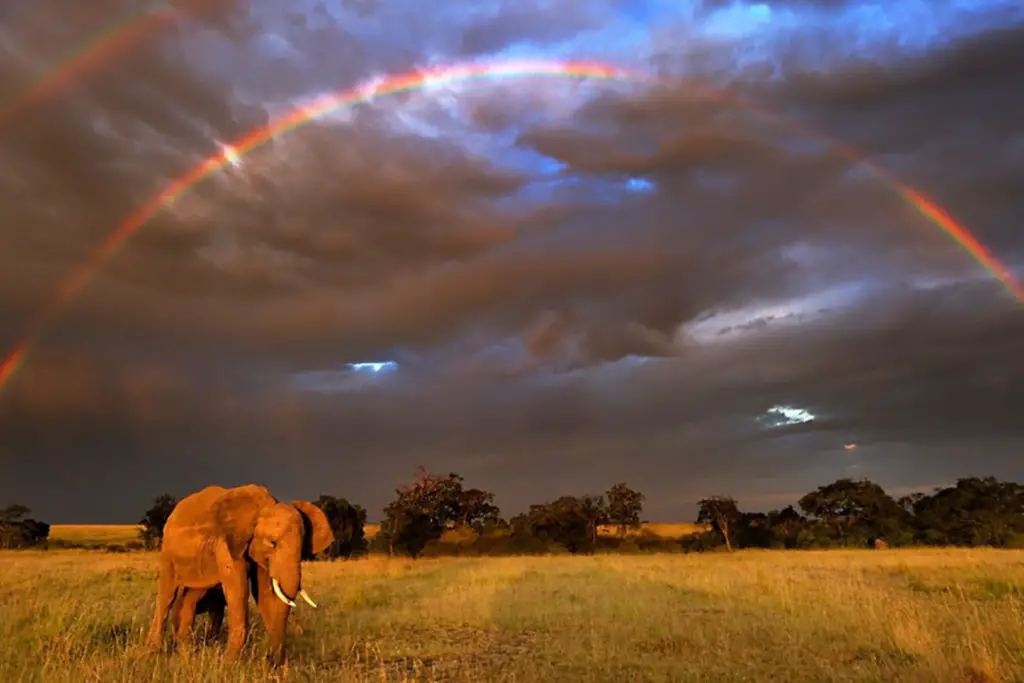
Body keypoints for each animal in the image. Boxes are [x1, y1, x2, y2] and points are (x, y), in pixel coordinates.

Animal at [145, 483, 331, 663]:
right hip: (168, 552)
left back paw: (185, 652)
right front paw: (230, 664)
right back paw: (153, 653)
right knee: (167, 596)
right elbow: (239, 591)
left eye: (303, 547)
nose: (271, 659)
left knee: (192, 597)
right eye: (272, 543)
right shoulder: (225, 543)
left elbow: (264, 595)